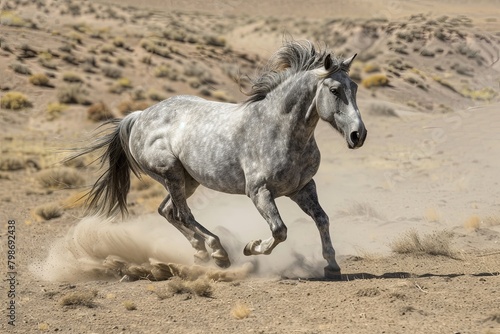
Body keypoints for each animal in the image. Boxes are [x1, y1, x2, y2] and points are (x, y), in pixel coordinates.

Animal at [71, 40, 368, 278]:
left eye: (354, 87)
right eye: (334, 90)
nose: (358, 135)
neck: (279, 129)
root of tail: (139, 115)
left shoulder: (303, 188)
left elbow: (322, 219)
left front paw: (331, 265)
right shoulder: (259, 192)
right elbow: (279, 230)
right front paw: (251, 247)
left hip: (188, 181)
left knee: (168, 211)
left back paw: (201, 253)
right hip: (171, 173)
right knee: (184, 214)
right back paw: (218, 252)